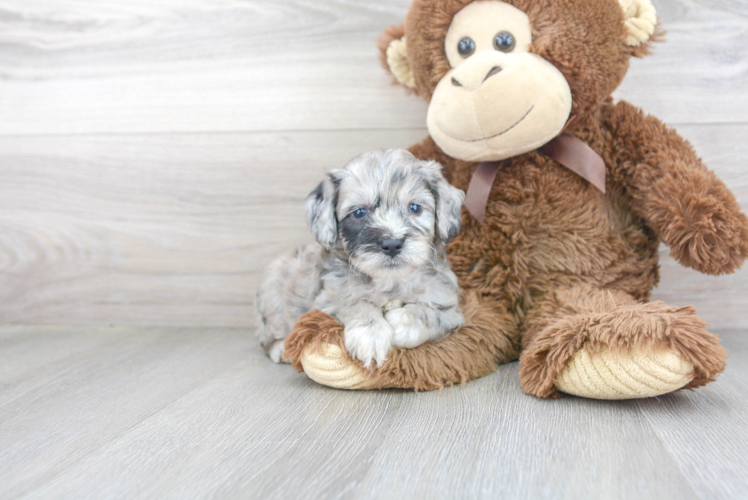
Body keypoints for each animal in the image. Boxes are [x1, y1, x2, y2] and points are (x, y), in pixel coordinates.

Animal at [258, 148, 468, 368]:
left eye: (415, 208)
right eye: (359, 212)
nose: (392, 244)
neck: (390, 281)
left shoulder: (451, 312)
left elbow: (428, 312)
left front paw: (403, 322)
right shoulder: (325, 306)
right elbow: (357, 304)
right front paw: (370, 334)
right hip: (272, 295)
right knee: (267, 336)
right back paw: (281, 349)